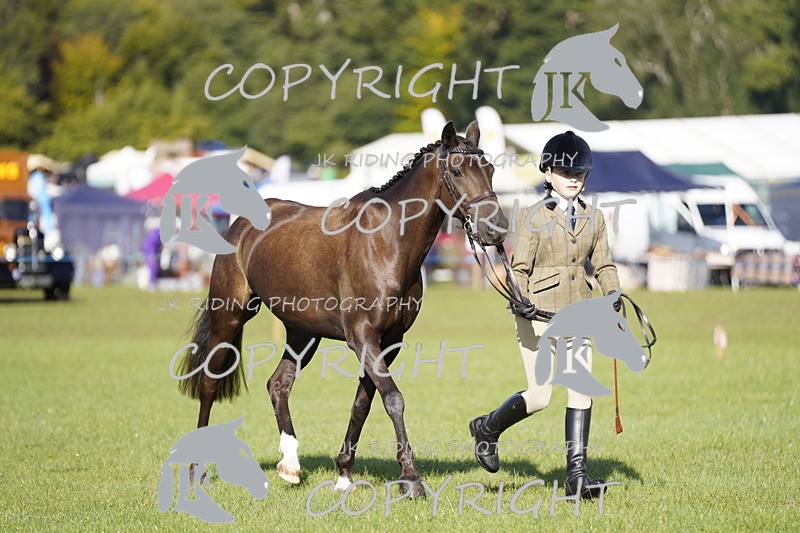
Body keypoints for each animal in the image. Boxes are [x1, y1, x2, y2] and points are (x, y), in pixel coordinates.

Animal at [177, 121, 508, 497]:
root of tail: (240, 226)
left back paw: (290, 465)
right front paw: (411, 478)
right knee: (209, 382)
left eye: (490, 170)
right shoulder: (362, 337)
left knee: (278, 385)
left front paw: (345, 475)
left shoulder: (388, 342)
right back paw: (196, 470)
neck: (387, 241)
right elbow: (393, 399)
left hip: (303, 333)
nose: (496, 229)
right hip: (229, 316)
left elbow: (363, 404)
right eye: (456, 170)